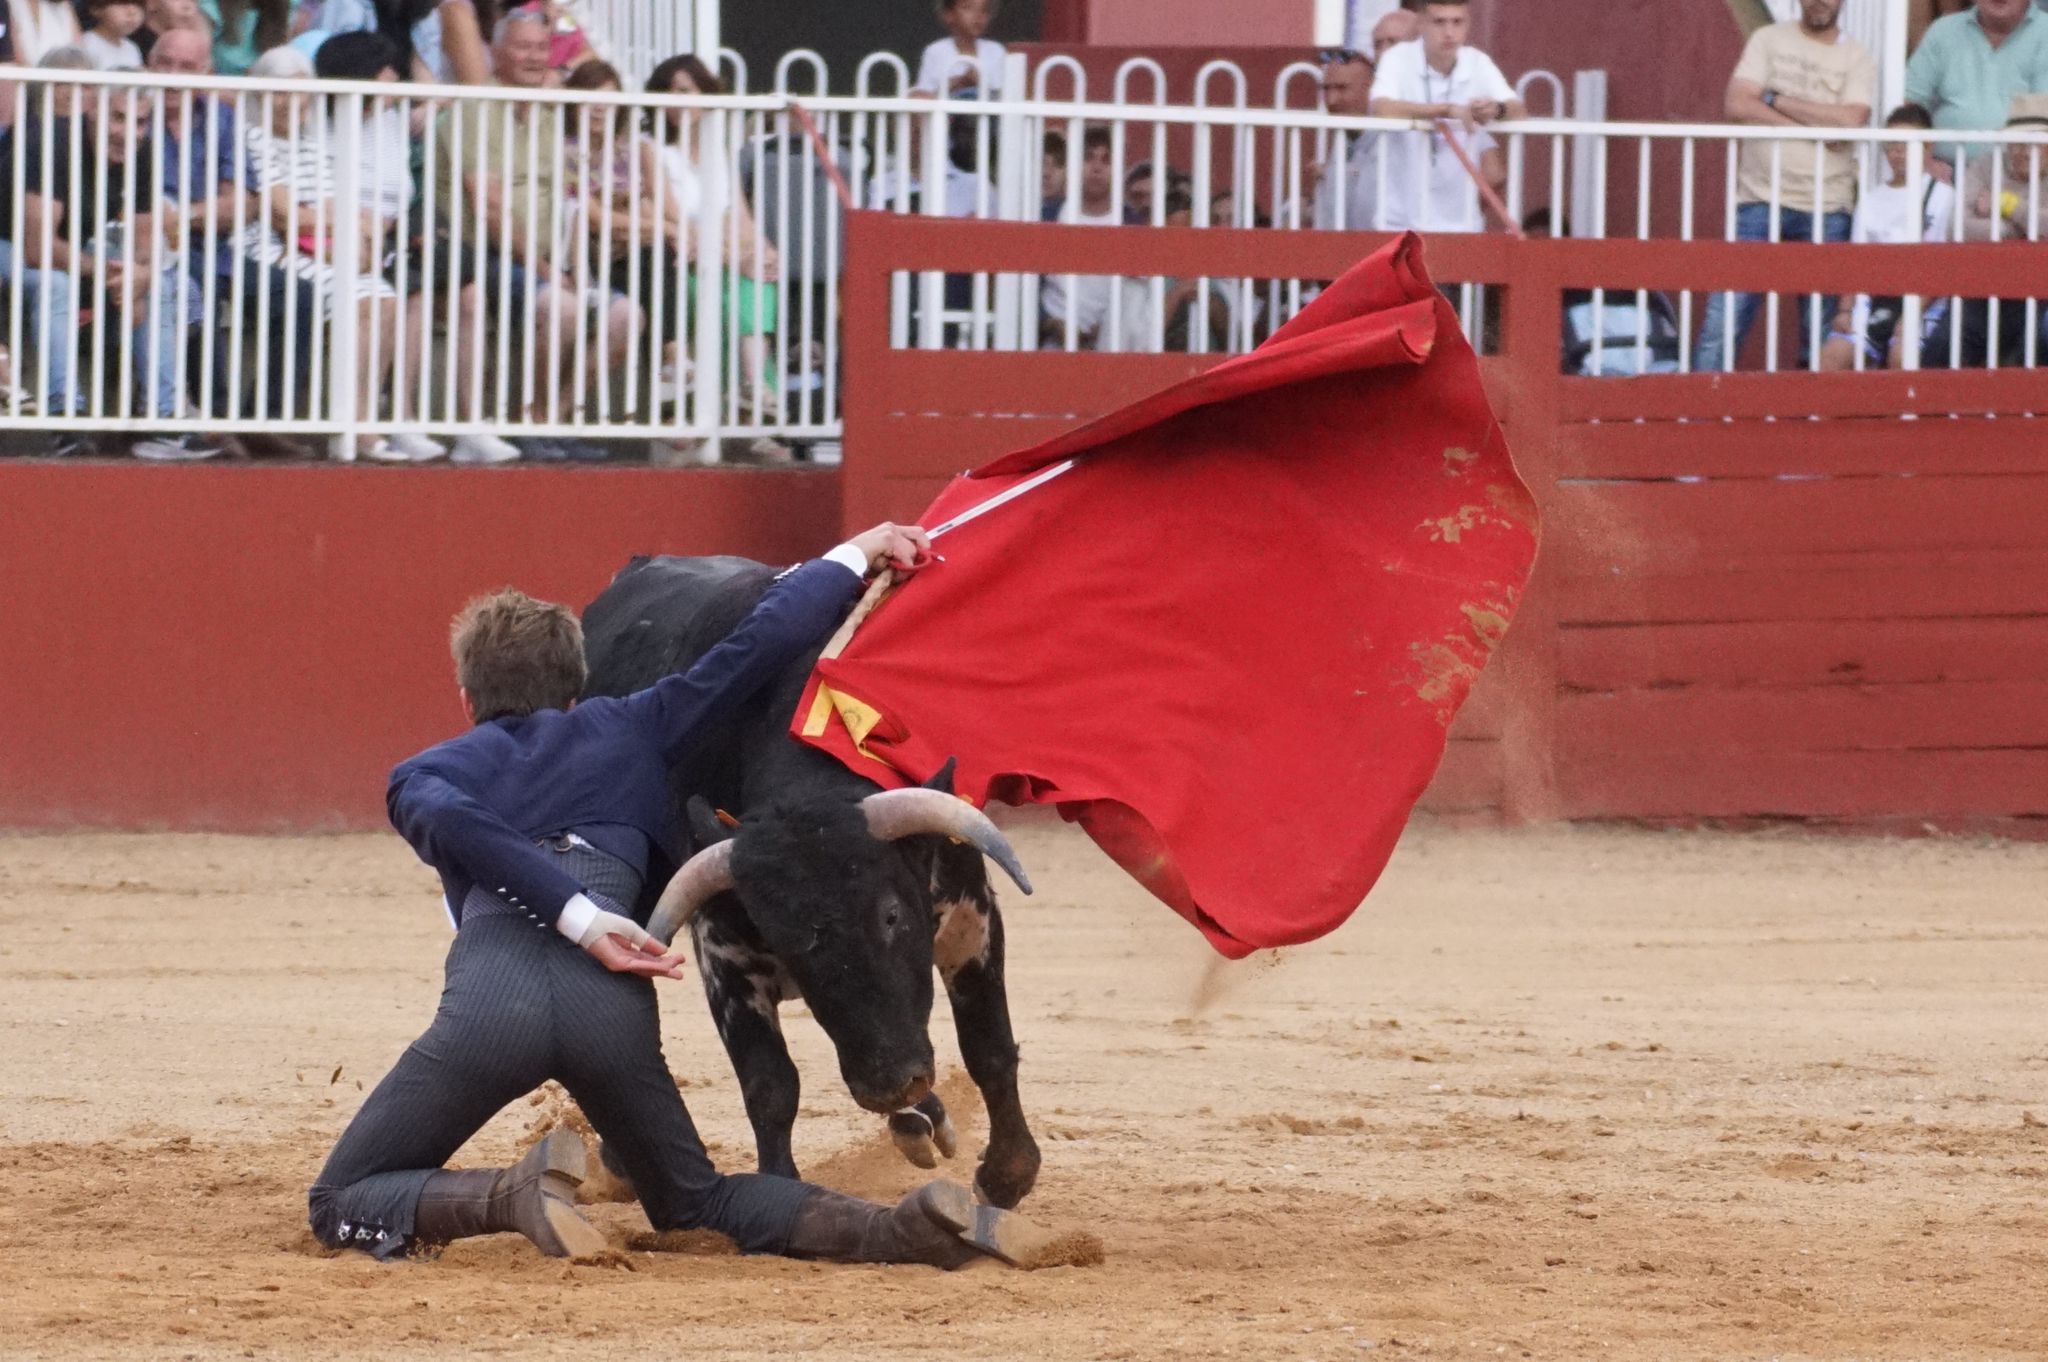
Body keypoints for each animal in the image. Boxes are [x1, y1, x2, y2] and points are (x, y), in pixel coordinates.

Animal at [585, 557, 1048, 1212]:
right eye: (785, 940)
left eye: (890, 915)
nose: (886, 1084)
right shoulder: (725, 951)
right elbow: (770, 1082)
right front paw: (781, 1190)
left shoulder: (969, 919)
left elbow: (987, 1044)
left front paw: (1006, 1174)